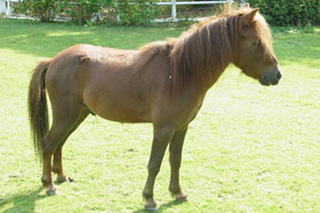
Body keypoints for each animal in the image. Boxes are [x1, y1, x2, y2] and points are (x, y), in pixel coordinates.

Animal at [28, 5, 282, 211]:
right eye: (256, 42)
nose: (277, 75)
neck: (181, 72)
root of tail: (53, 60)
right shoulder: (163, 129)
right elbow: (154, 164)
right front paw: (149, 199)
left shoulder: (181, 128)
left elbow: (175, 160)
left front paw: (178, 193)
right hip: (66, 116)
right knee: (49, 143)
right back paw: (49, 185)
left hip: (77, 115)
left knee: (59, 143)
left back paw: (60, 176)